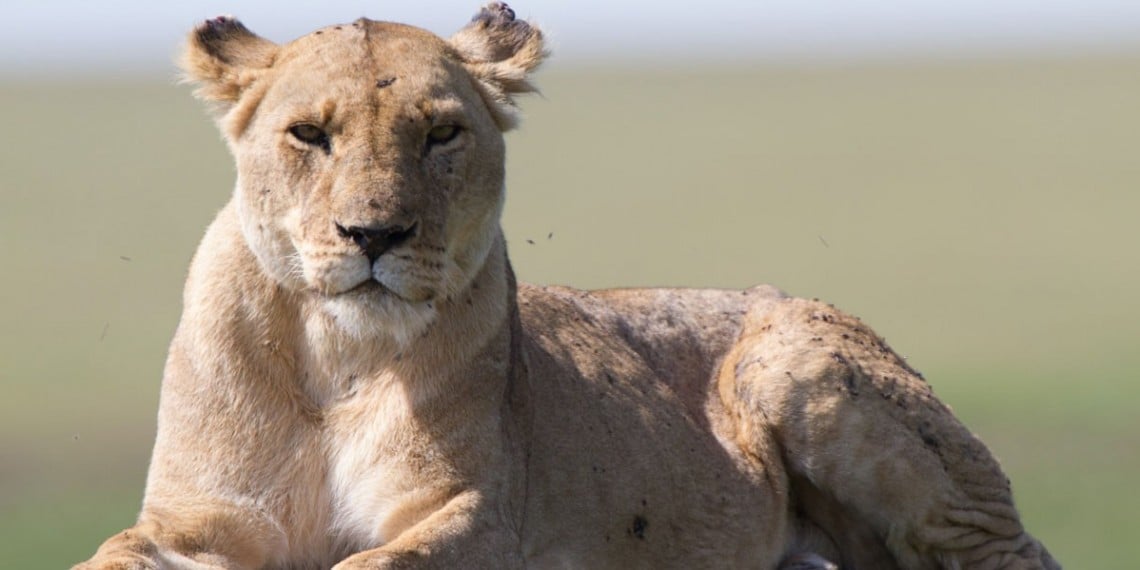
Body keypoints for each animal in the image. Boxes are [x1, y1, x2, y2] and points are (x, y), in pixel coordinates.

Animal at [77, 4, 1059, 569]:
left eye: (441, 134)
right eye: (309, 135)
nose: (374, 236)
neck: (338, 355)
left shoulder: (473, 514)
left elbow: (373, 561)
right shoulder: (200, 519)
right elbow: (116, 553)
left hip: (801, 366)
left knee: (1009, 551)